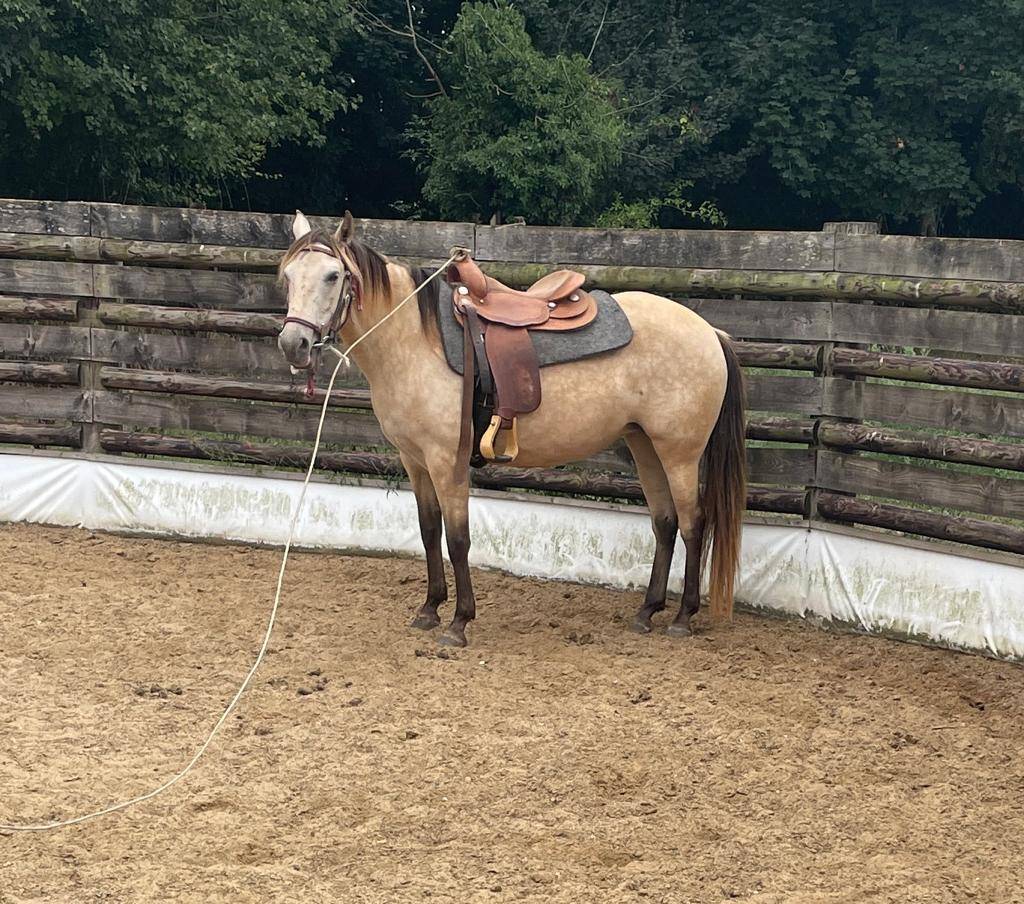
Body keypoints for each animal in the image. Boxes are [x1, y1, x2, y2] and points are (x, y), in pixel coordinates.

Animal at [276, 211, 747, 647]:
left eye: (333, 275)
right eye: (288, 276)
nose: (293, 345)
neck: (413, 339)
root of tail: (710, 332)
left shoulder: (447, 462)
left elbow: (458, 538)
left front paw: (459, 622)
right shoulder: (414, 460)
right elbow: (428, 531)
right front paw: (429, 609)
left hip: (679, 453)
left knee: (693, 523)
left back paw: (682, 617)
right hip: (644, 444)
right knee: (664, 522)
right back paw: (647, 611)